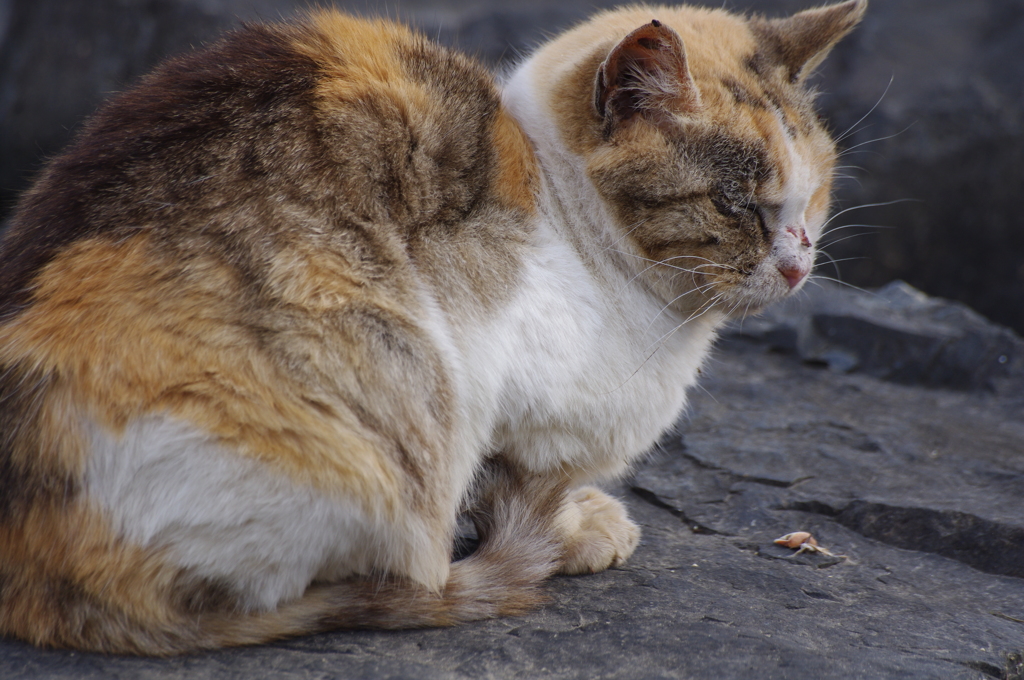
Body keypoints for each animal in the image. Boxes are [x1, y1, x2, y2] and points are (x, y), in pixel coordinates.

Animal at [0, 0, 864, 655]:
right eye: (736, 204)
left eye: (816, 194)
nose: (798, 264)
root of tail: (40, 583)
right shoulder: (500, 385)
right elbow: (511, 477)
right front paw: (579, 525)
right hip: (389, 386)